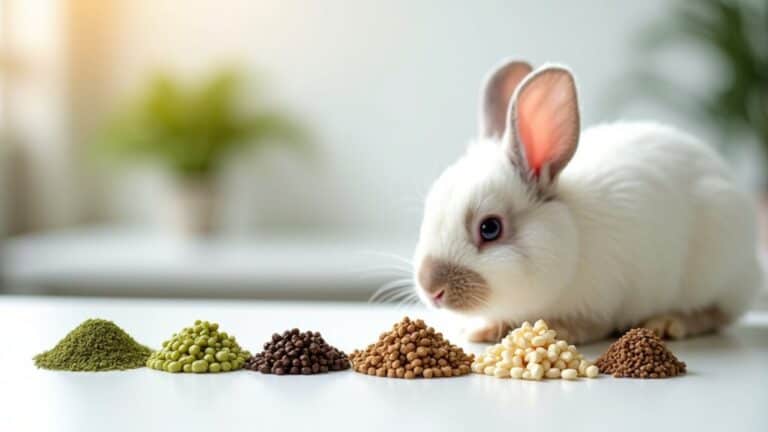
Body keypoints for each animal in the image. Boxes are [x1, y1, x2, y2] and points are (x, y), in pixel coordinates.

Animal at [413, 59, 762, 344]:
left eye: (490, 228)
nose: (431, 290)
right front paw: (482, 328)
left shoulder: (603, 300)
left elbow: (592, 325)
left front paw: (560, 329)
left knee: (718, 313)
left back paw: (669, 322)